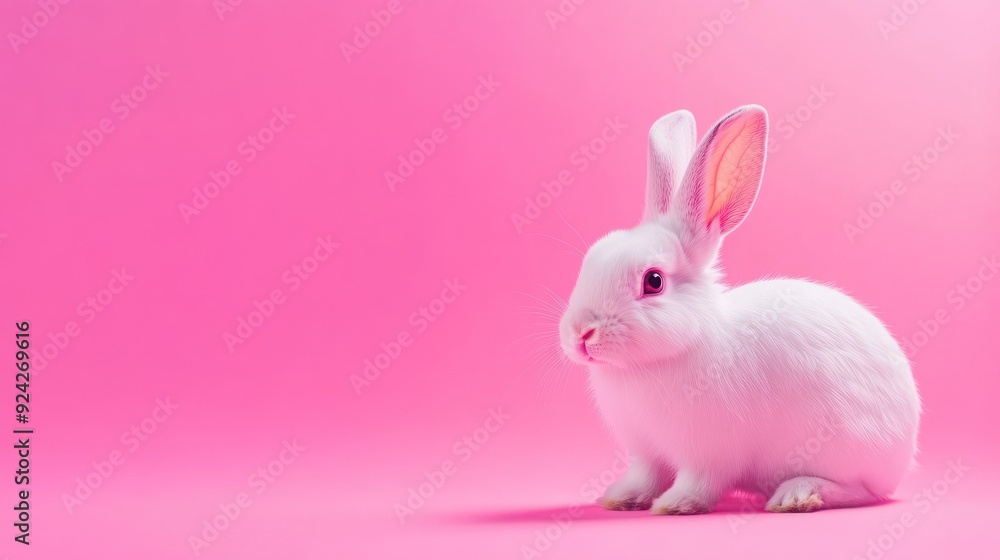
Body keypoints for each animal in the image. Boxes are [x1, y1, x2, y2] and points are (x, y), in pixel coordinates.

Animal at [558, 105, 921, 514]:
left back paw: (796, 496)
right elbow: (646, 475)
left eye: (653, 281)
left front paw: (675, 505)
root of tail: (902, 456)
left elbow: (698, 482)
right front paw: (622, 498)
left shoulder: (708, 454)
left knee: (862, 492)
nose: (581, 334)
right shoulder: (647, 452)